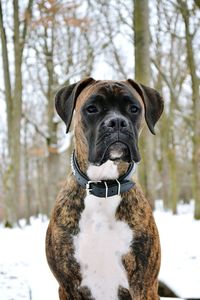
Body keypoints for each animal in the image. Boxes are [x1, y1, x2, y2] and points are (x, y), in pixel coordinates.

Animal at [46, 78, 164, 300]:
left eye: (134, 109)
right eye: (91, 109)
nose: (116, 122)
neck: (104, 185)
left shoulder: (143, 286)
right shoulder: (67, 286)